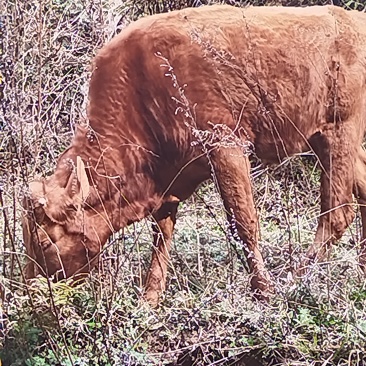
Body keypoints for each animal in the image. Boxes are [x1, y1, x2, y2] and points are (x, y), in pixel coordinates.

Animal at [22, 4, 366, 304]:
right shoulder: (169, 177)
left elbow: (243, 224)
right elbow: (162, 235)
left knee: (336, 213)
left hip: (337, 133)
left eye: (45, 241)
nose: (36, 293)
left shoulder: (225, 148)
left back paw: (296, 280)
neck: (142, 83)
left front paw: (264, 293)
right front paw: (149, 301)